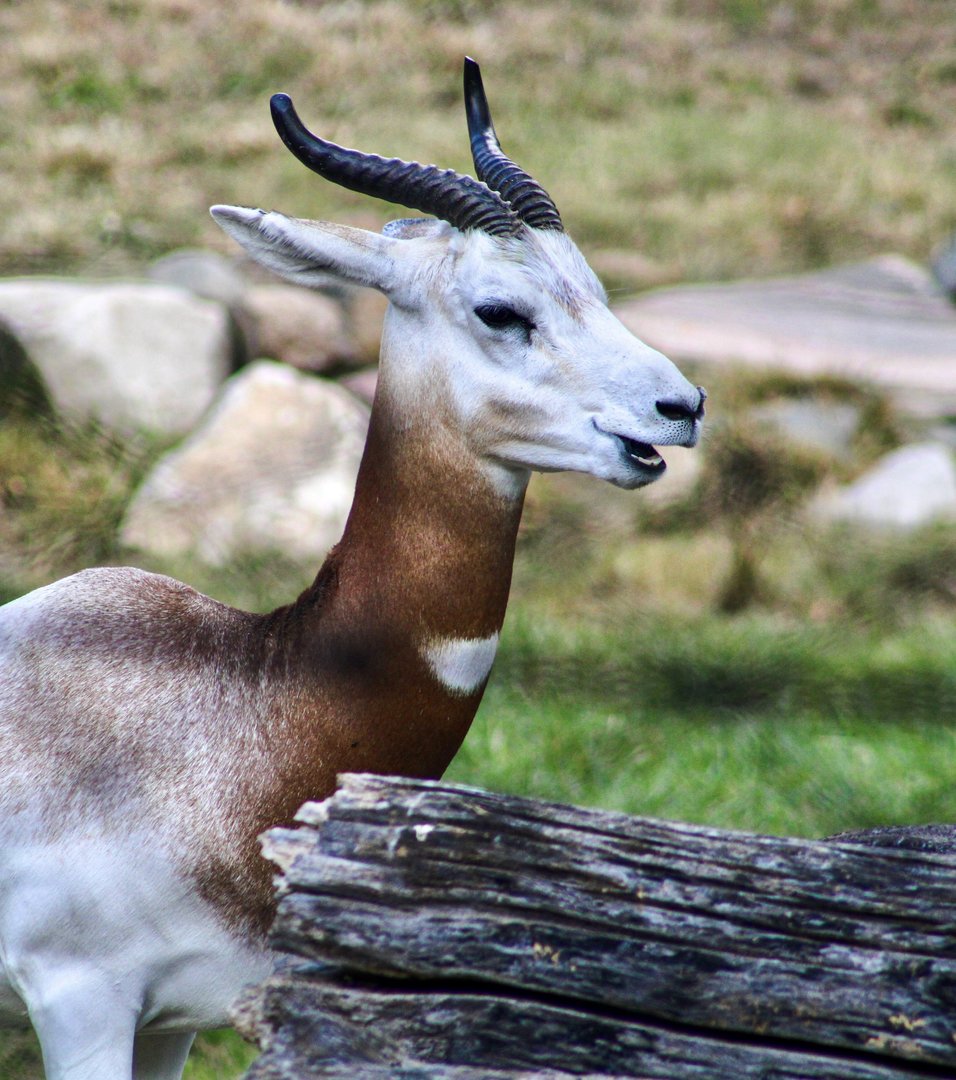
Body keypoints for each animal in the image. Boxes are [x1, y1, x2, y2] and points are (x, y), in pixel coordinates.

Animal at [0, 59, 704, 1080]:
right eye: (501, 309)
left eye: (593, 287)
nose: (680, 406)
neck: (250, 701)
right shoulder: (79, 998)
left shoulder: (171, 1016)